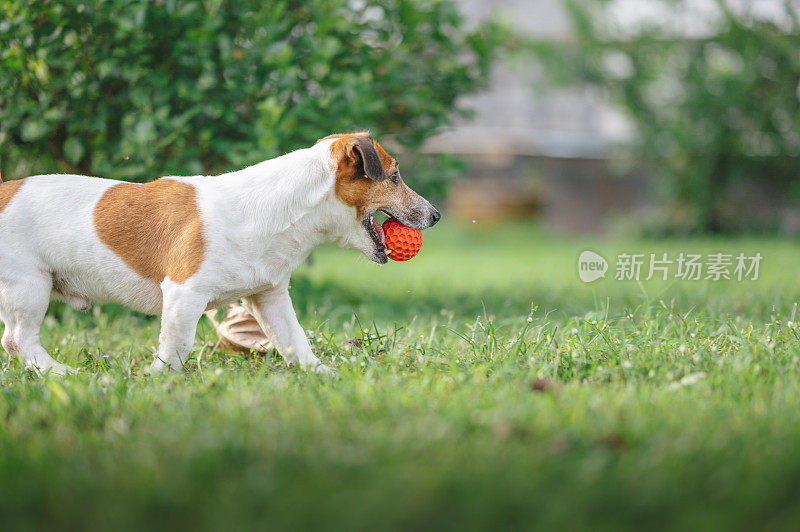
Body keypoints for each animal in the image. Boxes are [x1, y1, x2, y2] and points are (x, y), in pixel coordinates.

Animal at [0, 132, 438, 374]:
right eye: (394, 177)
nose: (435, 215)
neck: (276, 208)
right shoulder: (183, 295)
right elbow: (176, 348)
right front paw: (158, 382)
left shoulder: (270, 297)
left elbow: (295, 342)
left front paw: (325, 375)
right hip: (30, 286)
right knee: (22, 340)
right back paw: (61, 373)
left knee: (11, 340)